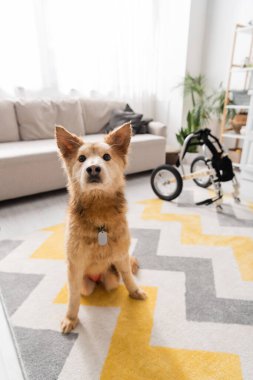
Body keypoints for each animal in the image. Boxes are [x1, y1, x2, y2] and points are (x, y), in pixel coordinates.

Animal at [55, 122, 146, 332]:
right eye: (81, 158)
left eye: (107, 157)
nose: (94, 169)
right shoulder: (75, 266)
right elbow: (73, 297)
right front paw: (71, 318)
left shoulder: (121, 256)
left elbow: (128, 277)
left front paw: (135, 292)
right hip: (86, 285)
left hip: (112, 278)